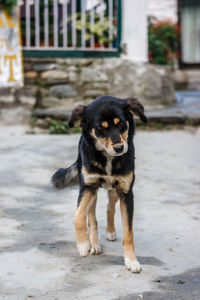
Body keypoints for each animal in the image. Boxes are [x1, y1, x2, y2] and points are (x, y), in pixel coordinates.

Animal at [52, 95, 148, 272]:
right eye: (100, 128)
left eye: (121, 123)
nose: (119, 148)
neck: (108, 158)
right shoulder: (87, 186)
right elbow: (78, 215)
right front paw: (83, 244)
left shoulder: (126, 192)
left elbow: (128, 232)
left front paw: (131, 260)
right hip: (93, 191)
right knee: (91, 216)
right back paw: (94, 244)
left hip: (113, 191)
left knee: (110, 206)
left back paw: (110, 231)